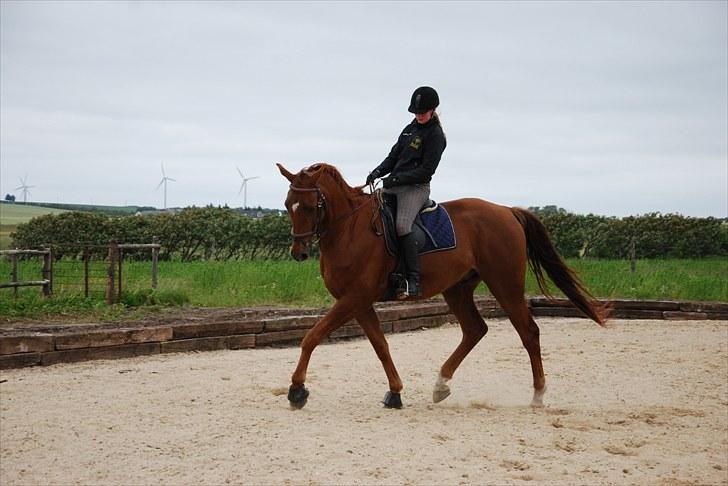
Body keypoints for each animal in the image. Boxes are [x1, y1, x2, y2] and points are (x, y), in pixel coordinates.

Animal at [276, 161, 604, 408]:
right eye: (288, 205)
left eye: (309, 206)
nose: (298, 252)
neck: (348, 229)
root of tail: (506, 211)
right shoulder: (359, 302)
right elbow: (381, 345)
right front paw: (395, 393)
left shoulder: (354, 298)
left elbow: (312, 336)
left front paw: (297, 390)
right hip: (457, 288)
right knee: (475, 330)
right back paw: (441, 385)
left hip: (505, 284)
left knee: (528, 332)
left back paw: (537, 394)